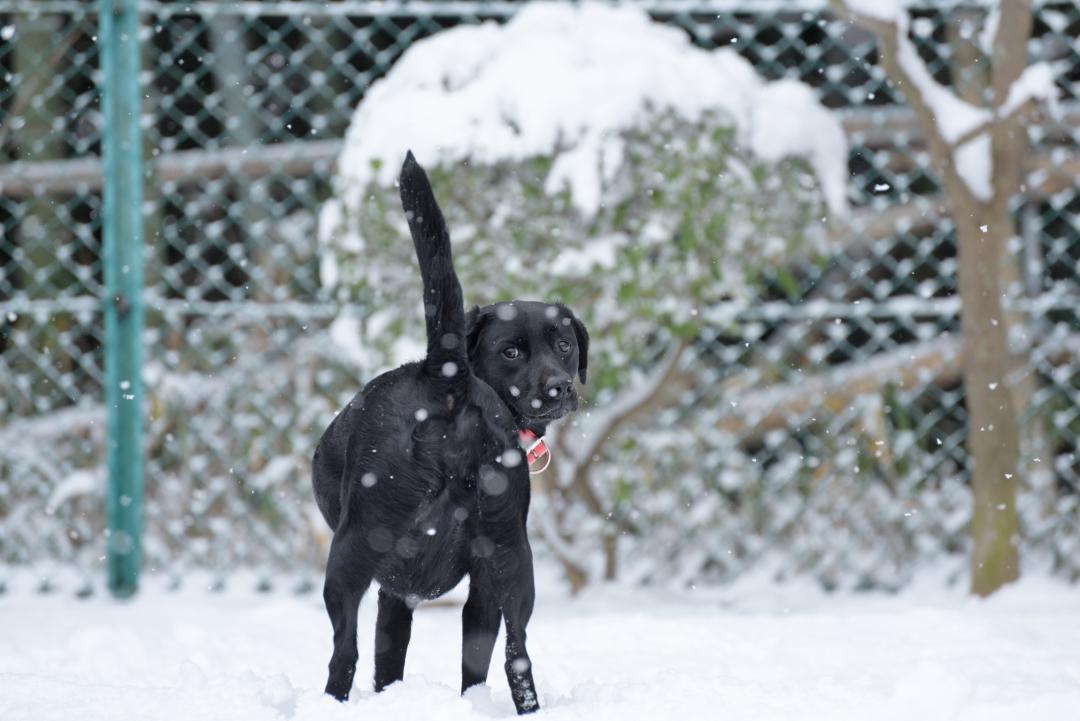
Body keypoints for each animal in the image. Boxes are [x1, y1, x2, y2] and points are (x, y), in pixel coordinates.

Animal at [308, 152, 587, 716]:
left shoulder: (394, 589)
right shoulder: (445, 589)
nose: (559, 387)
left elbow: (380, 660)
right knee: (516, 656)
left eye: (564, 344)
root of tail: (445, 376)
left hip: (350, 554)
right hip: (510, 559)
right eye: (511, 351)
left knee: (342, 653)